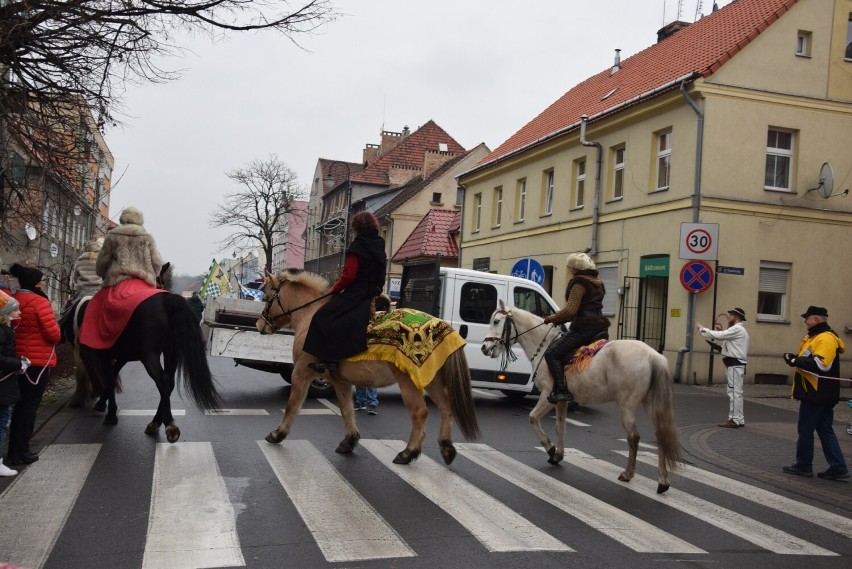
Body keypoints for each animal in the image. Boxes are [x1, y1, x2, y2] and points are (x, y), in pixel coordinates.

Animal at [70, 266, 221, 444]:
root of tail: (166, 298)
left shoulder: (103, 355)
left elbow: (108, 378)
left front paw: (110, 413)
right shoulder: (122, 357)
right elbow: (112, 376)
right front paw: (103, 403)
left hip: (149, 356)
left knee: (162, 381)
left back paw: (170, 426)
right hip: (171, 352)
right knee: (168, 383)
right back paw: (155, 423)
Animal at [256, 268, 480, 464]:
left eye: (266, 297)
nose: (259, 324)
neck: (310, 315)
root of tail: (443, 327)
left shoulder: (302, 373)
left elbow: (292, 405)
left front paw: (277, 434)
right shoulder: (341, 381)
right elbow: (346, 409)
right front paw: (349, 440)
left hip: (409, 381)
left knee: (420, 412)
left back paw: (408, 453)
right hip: (431, 378)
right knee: (446, 406)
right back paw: (446, 447)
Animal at [482, 302, 684, 492]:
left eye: (496, 321)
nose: (485, 347)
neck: (544, 345)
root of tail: (652, 355)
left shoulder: (547, 395)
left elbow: (533, 418)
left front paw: (550, 448)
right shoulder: (561, 400)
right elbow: (560, 427)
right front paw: (557, 455)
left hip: (627, 404)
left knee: (633, 437)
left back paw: (628, 474)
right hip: (650, 403)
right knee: (660, 435)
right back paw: (663, 482)